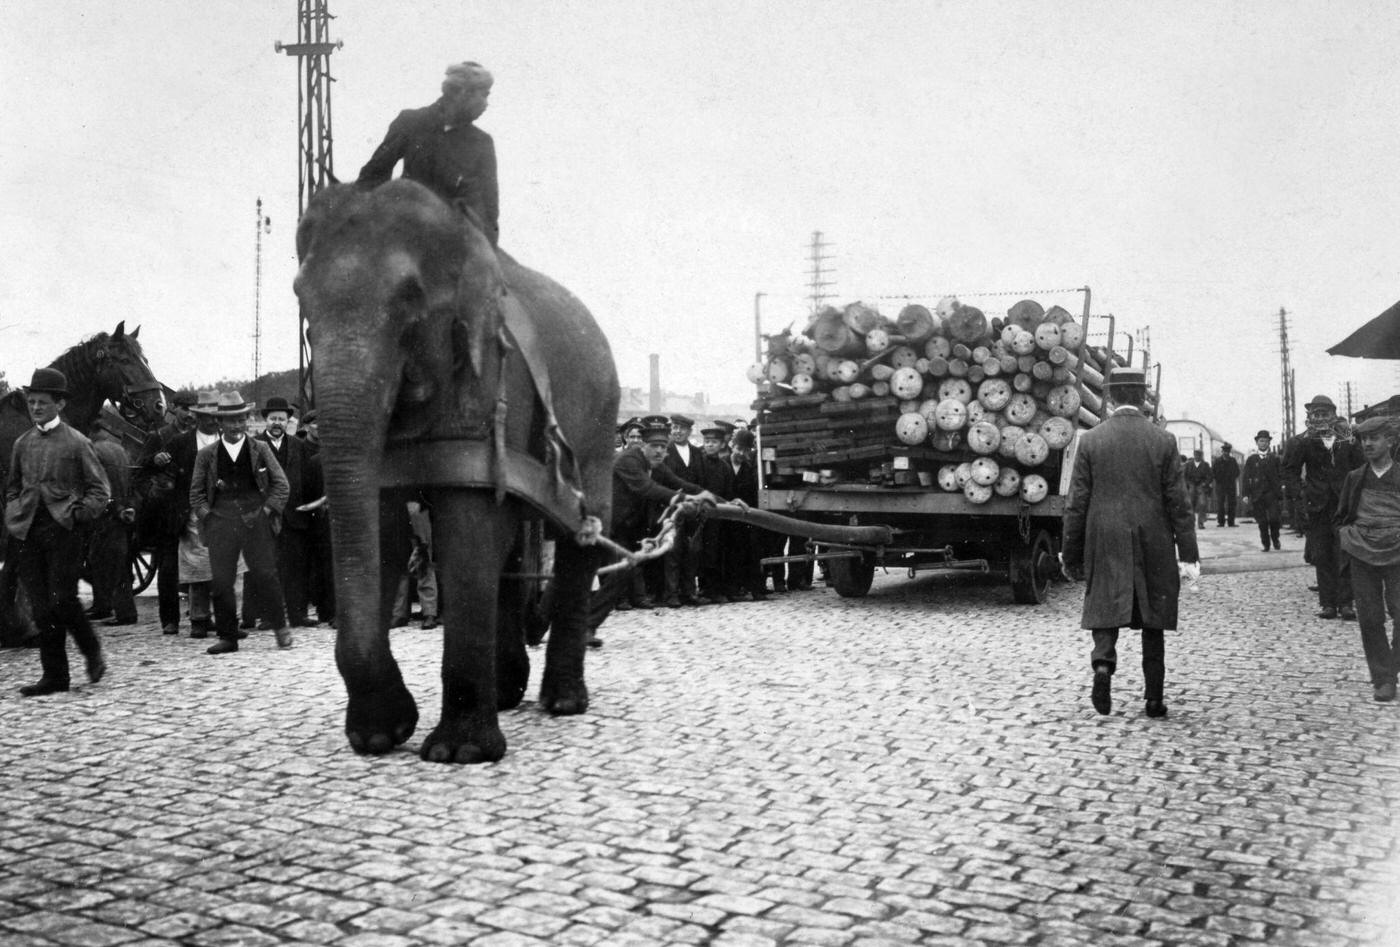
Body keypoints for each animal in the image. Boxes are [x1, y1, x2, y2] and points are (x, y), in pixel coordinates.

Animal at [294, 180, 618, 767]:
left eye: (410, 297)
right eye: (300, 297)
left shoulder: (488, 365)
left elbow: (467, 522)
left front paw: (458, 753)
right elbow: (381, 525)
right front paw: (379, 736)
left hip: (600, 415)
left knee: (581, 532)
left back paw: (563, 702)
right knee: (511, 542)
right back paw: (508, 693)